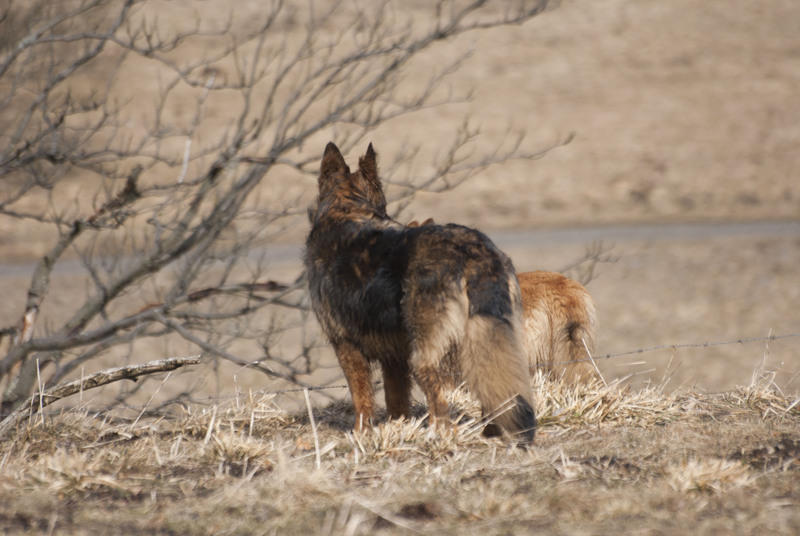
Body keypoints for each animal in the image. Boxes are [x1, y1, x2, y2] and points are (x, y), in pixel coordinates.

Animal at [304, 142, 536, 444]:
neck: (346, 209)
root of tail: (474, 253)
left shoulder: (346, 345)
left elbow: (361, 398)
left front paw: (362, 435)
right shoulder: (393, 356)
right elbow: (396, 398)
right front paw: (398, 426)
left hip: (426, 353)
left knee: (439, 402)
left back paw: (441, 434)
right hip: (491, 336)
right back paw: (490, 433)